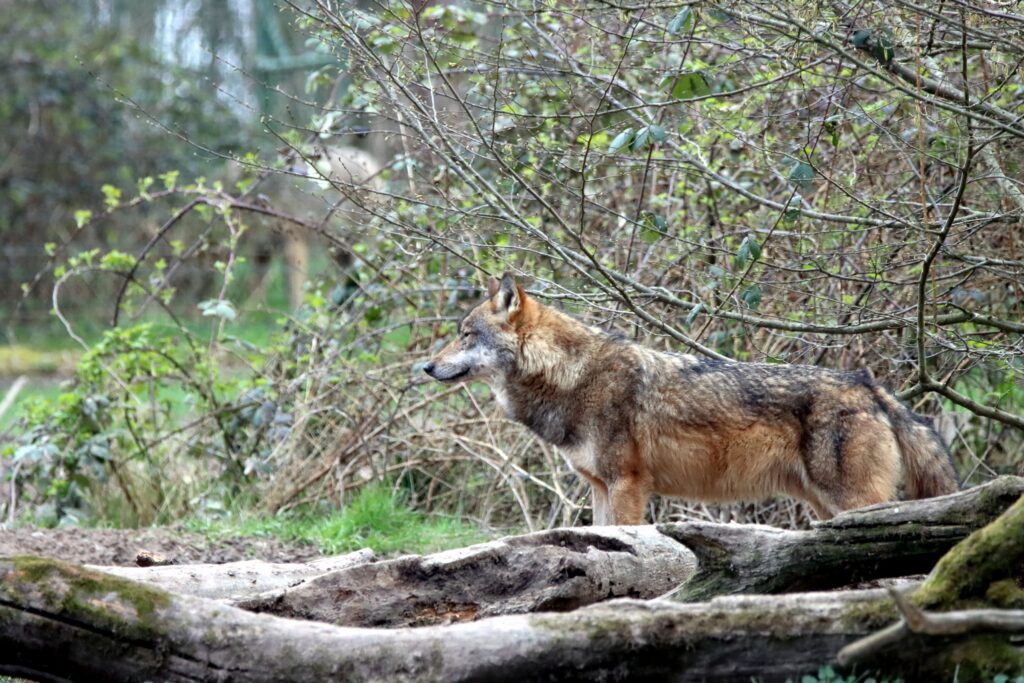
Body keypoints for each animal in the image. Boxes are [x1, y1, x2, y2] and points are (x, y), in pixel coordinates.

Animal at [423, 272, 960, 524]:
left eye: (465, 334)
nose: (425, 367)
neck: (571, 376)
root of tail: (869, 384)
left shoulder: (627, 484)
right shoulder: (600, 487)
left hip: (850, 501)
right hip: (823, 505)